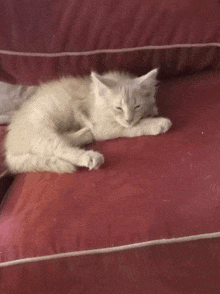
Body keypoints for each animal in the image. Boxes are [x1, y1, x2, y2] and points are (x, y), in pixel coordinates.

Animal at [3, 69, 172, 173]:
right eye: (118, 108)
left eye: (137, 106)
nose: (129, 118)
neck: (96, 98)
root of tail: (9, 146)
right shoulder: (102, 127)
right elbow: (131, 128)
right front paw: (157, 123)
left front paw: (152, 109)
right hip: (41, 130)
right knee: (59, 148)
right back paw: (89, 156)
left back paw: (85, 134)